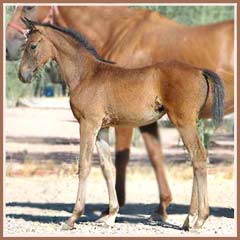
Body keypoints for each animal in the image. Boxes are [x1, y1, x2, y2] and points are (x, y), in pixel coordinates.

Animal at [6, 6, 234, 221]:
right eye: (25, 46)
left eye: (33, 46)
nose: (22, 75)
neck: (87, 74)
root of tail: (199, 71)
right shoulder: (102, 128)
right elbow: (107, 167)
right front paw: (110, 215)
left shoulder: (88, 124)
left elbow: (85, 165)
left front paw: (73, 217)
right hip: (188, 122)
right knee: (196, 158)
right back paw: (190, 219)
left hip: (183, 121)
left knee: (199, 157)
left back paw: (198, 219)